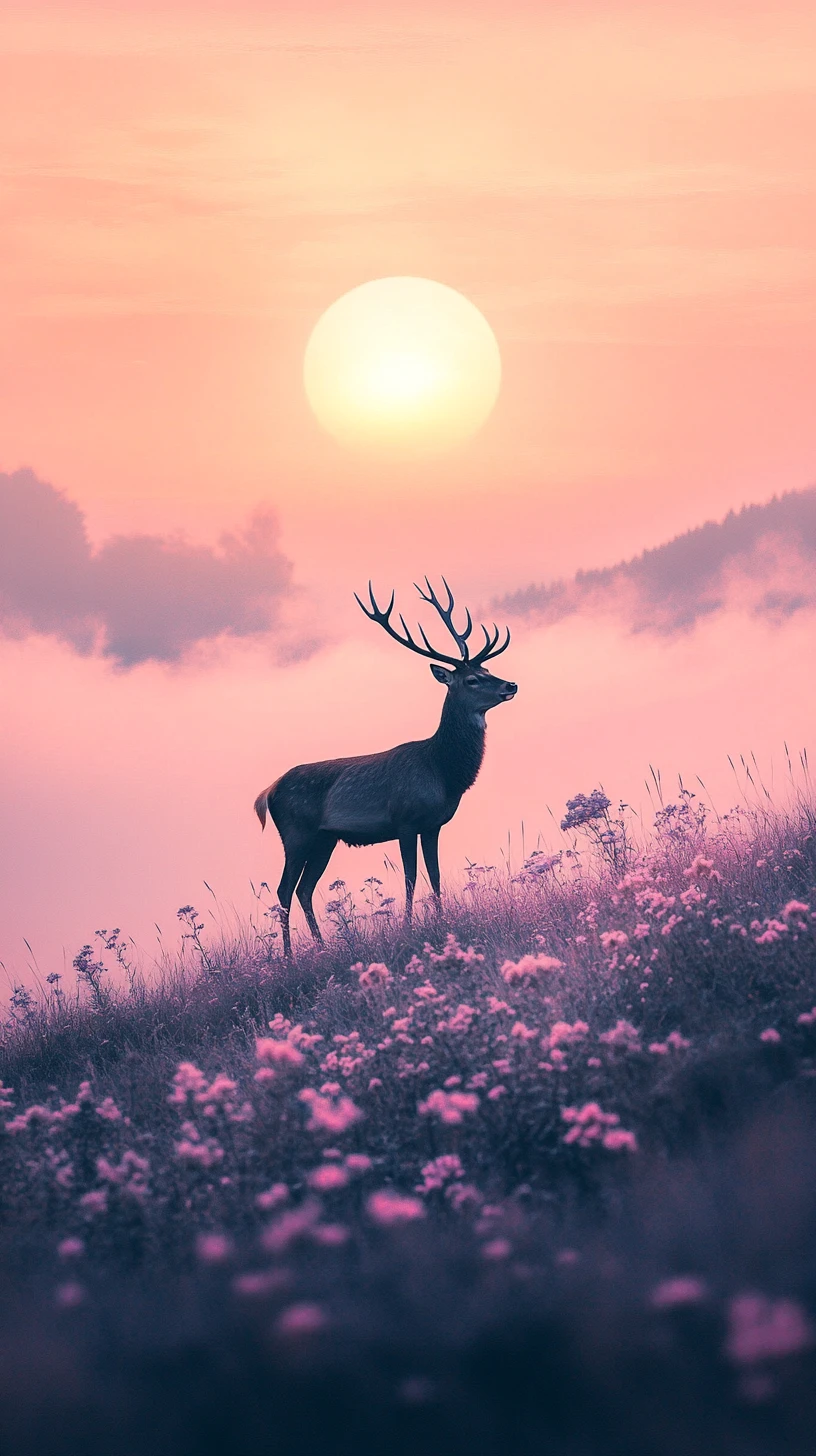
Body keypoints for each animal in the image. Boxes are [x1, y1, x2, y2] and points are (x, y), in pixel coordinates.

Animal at [254, 579, 517, 957]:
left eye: (487, 671)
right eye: (471, 680)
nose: (511, 684)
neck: (443, 773)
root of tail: (267, 792)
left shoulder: (433, 825)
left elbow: (434, 875)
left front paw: (442, 921)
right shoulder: (405, 820)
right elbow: (410, 877)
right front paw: (409, 928)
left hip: (324, 838)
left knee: (304, 888)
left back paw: (322, 947)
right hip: (295, 832)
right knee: (284, 889)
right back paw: (289, 957)